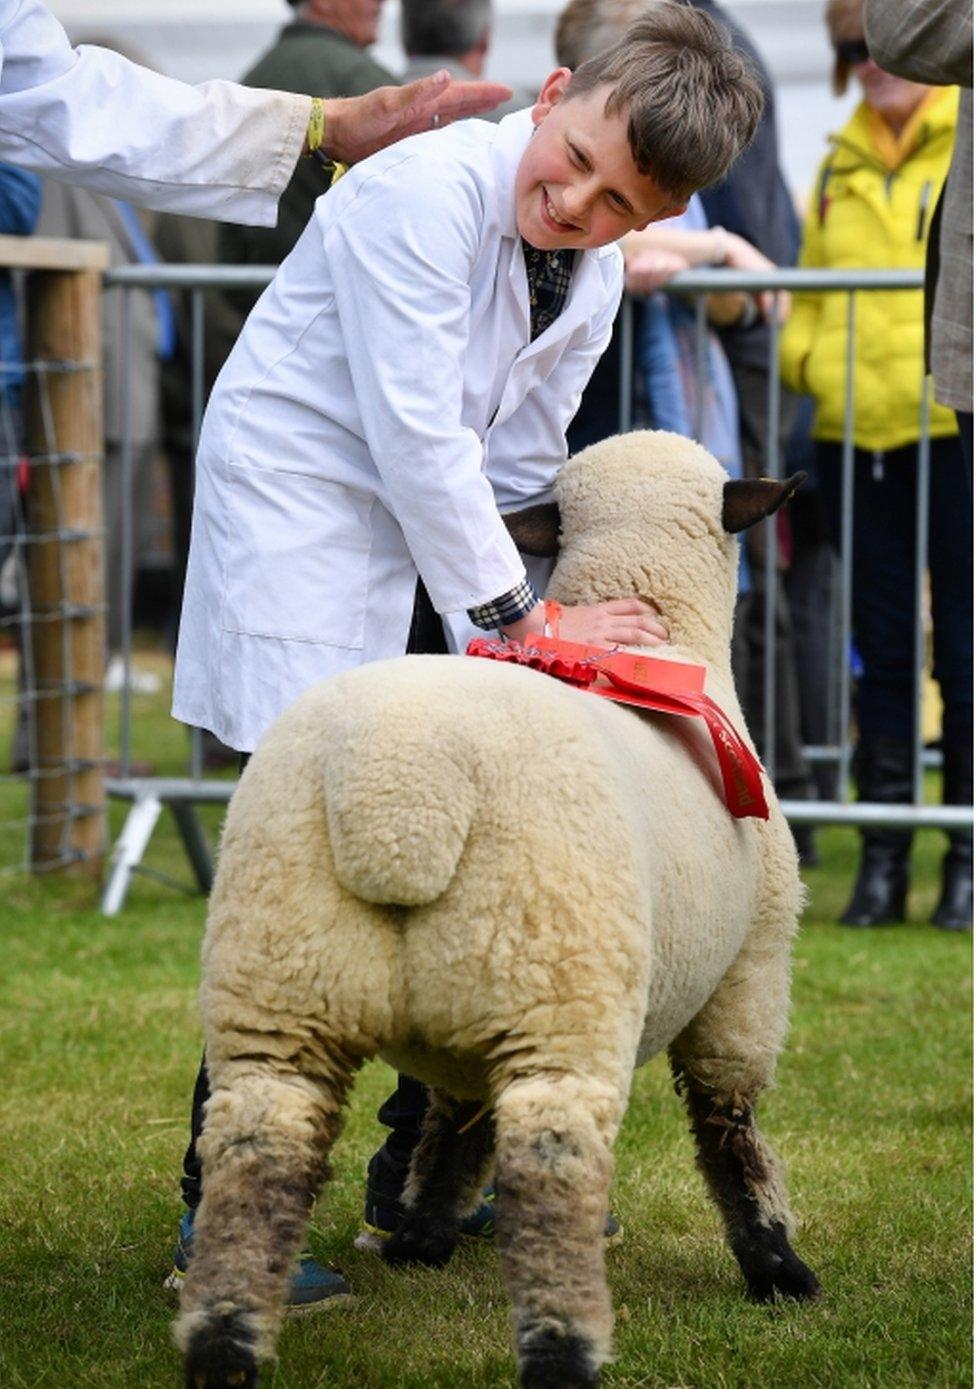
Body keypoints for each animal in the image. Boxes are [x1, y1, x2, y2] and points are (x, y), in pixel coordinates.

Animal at [173, 433, 816, 1389]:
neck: (672, 638)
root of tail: (400, 796)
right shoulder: (750, 975)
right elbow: (730, 1130)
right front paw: (775, 1263)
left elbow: (453, 1127)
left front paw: (422, 1234)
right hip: (558, 984)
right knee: (555, 1167)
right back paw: (564, 1352)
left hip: (282, 972)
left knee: (258, 1152)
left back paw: (225, 1347)